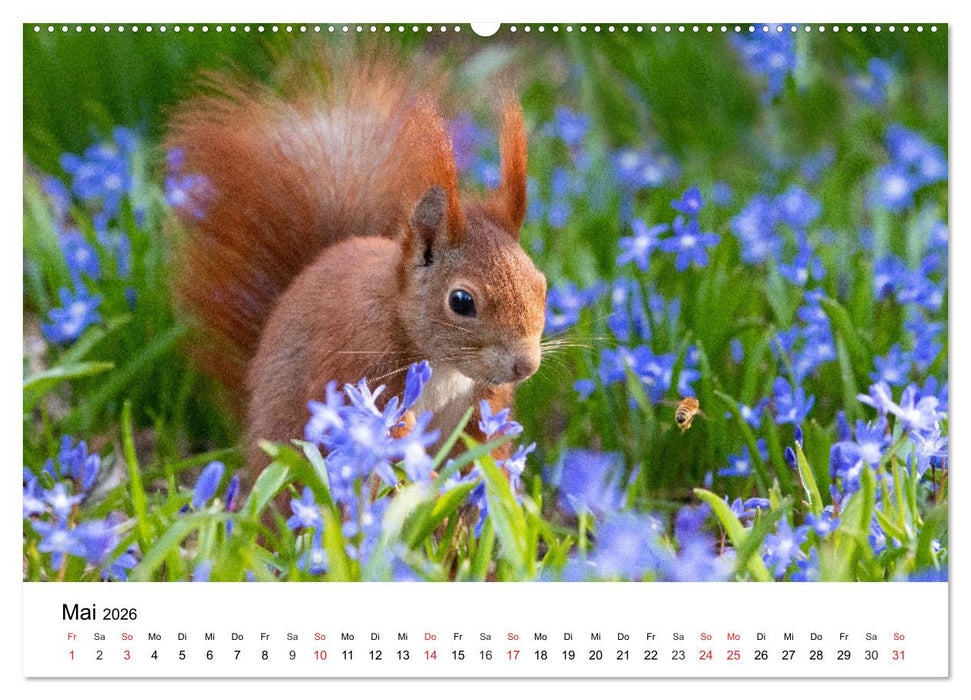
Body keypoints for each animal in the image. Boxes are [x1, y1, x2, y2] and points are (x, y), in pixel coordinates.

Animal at [166, 53, 547, 476]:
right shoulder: (365, 359)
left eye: (541, 284)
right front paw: (430, 480)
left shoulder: (483, 400)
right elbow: (390, 432)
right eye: (461, 302)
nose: (525, 366)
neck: (445, 366)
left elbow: (483, 441)